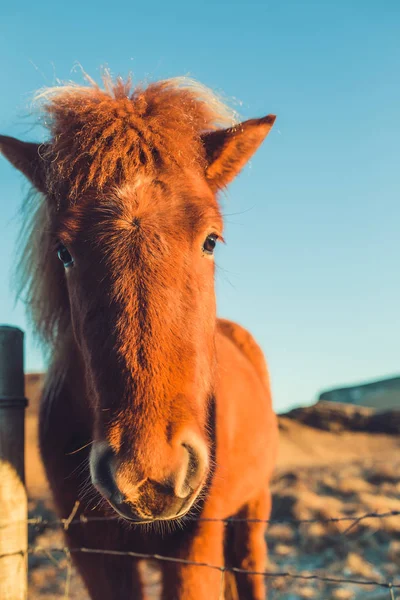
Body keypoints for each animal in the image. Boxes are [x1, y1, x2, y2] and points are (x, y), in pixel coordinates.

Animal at [0, 76, 280, 600]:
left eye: (210, 240)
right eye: (63, 251)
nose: (148, 474)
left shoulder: (196, 550)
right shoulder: (93, 553)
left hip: (253, 513)